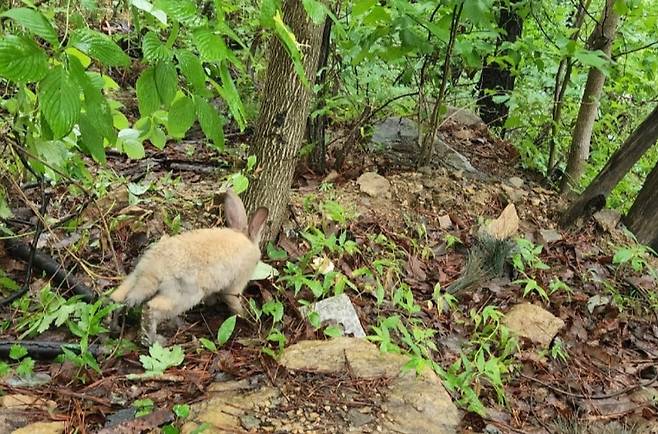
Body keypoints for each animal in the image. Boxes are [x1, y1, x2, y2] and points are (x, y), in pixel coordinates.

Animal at [109, 190, 268, 346]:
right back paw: (156, 340)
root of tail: (151, 271)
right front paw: (244, 316)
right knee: (151, 309)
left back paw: (114, 328)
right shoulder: (235, 286)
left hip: (134, 279)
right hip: (184, 296)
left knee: (117, 299)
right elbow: (234, 303)